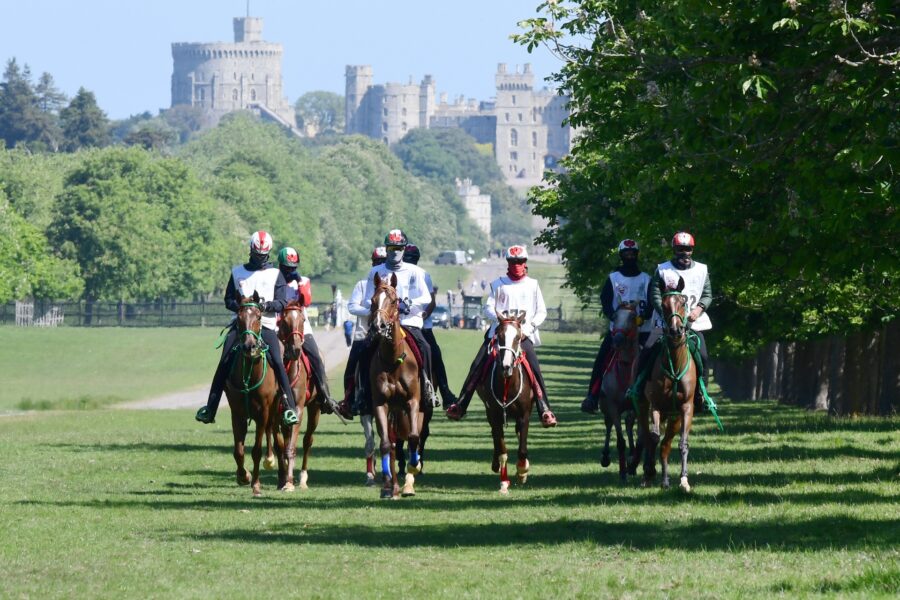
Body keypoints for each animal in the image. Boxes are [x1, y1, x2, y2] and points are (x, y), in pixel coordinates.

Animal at [223, 292, 287, 497]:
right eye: (239, 318)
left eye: (259, 316)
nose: (249, 347)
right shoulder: (237, 413)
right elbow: (238, 450)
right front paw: (244, 476)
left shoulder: (263, 413)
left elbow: (257, 451)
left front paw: (256, 485)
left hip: (275, 412)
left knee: (279, 442)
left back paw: (284, 480)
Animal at [368, 272, 431, 499]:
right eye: (372, 300)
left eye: (395, 301)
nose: (379, 326)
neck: (393, 360)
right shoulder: (381, 404)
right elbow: (387, 444)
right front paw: (388, 485)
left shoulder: (412, 402)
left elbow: (413, 437)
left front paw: (414, 467)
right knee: (394, 444)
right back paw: (393, 486)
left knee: (416, 438)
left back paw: (408, 484)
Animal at [476, 310, 535, 495]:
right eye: (499, 336)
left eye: (517, 337)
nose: (506, 366)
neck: (507, 383)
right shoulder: (494, 414)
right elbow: (502, 450)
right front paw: (504, 483)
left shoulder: (524, 415)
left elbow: (522, 449)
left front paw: (522, 472)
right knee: (496, 437)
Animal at [637, 275, 697, 492]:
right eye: (663, 305)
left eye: (683, 302)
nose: (675, 330)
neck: (675, 367)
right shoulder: (655, 405)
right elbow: (653, 438)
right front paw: (649, 472)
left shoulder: (686, 408)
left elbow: (682, 444)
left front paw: (683, 480)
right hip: (643, 406)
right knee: (649, 437)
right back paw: (651, 474)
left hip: (674, 416)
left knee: (666, 444)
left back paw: (665, 479)